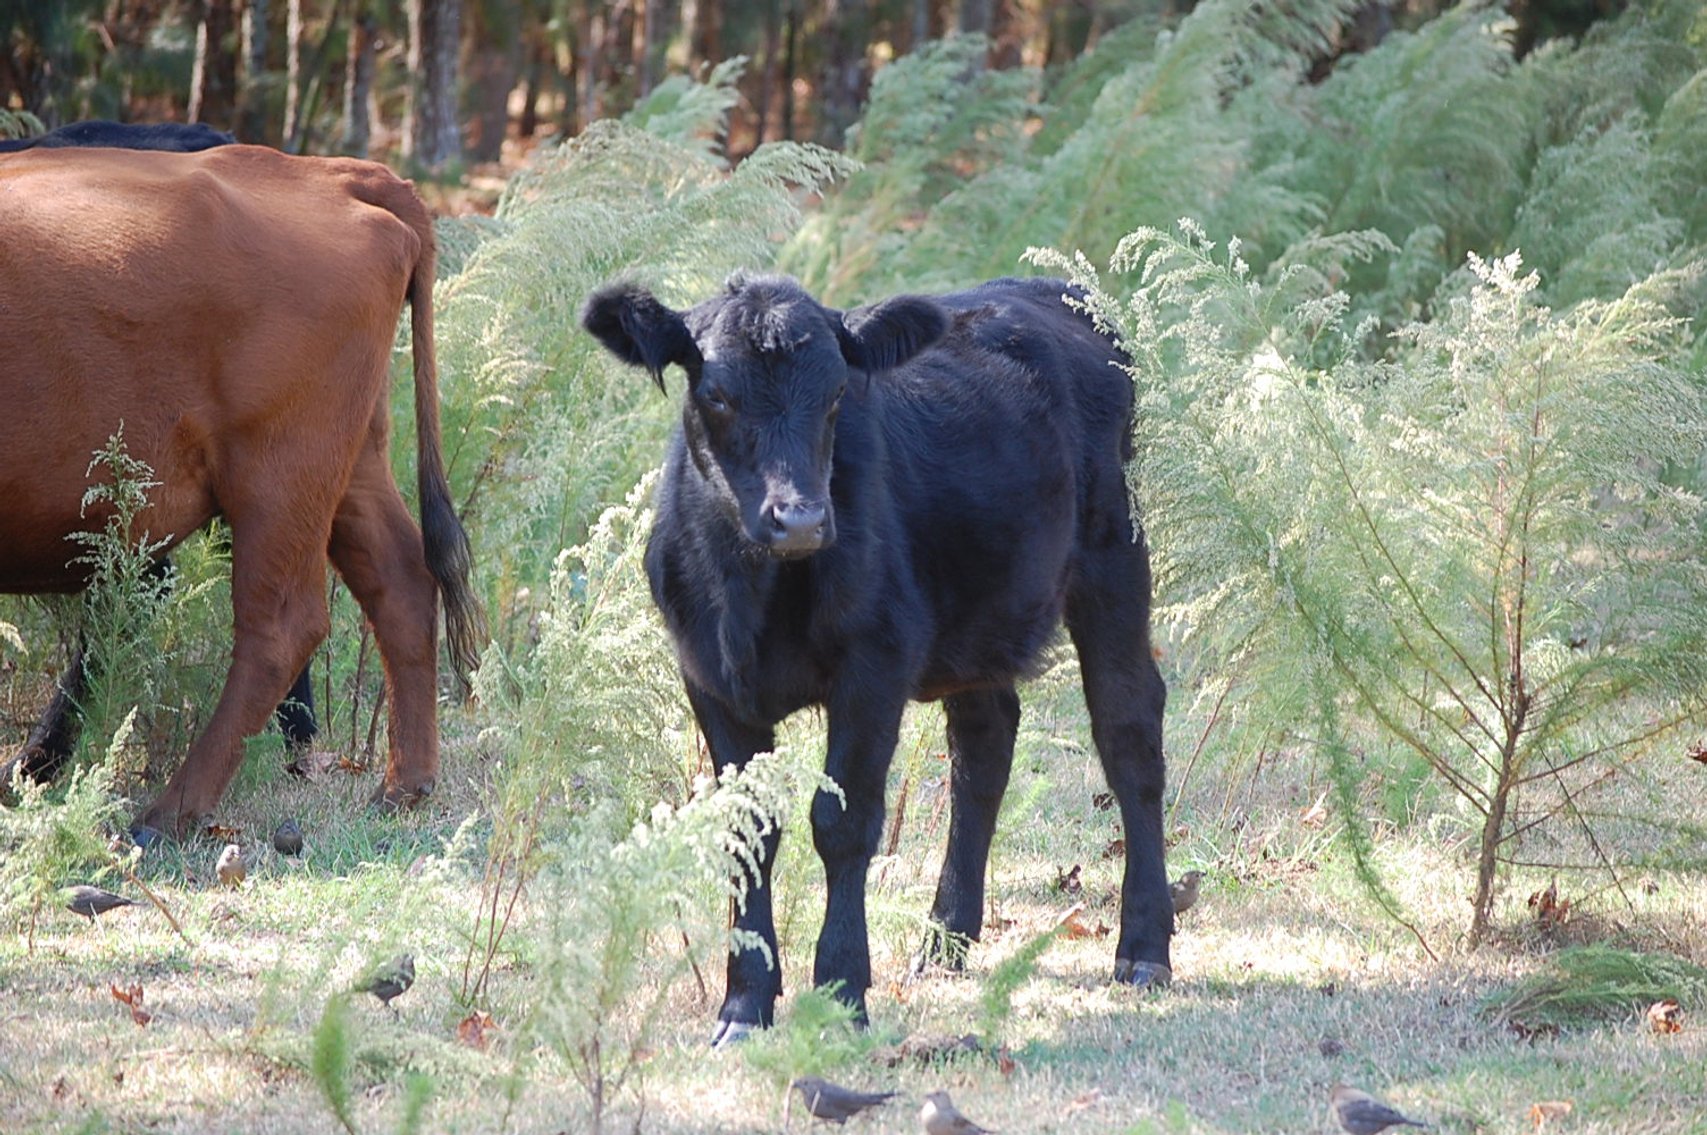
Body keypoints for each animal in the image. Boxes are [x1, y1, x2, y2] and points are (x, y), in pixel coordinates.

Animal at [0, 145, 485, 836]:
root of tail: (335, 174)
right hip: (350, 465)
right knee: (402, 582)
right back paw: (401, 789)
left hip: (275, 479)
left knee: (280, 627)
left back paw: (165, 816)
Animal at [581, 272, 1171, 1045]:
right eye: (716, 394)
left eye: (837, 393)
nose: (800, 518)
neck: (756, 592)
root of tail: (1054, 288)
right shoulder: (708, 675)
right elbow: (747, 833)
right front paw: (743, 1005)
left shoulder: (875, 664)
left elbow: (842, 825)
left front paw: (839, 992)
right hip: (978, 617)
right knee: (984, 745)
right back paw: (944, 942)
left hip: (1114, 555)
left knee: (1128, 728)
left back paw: (1144, 948)